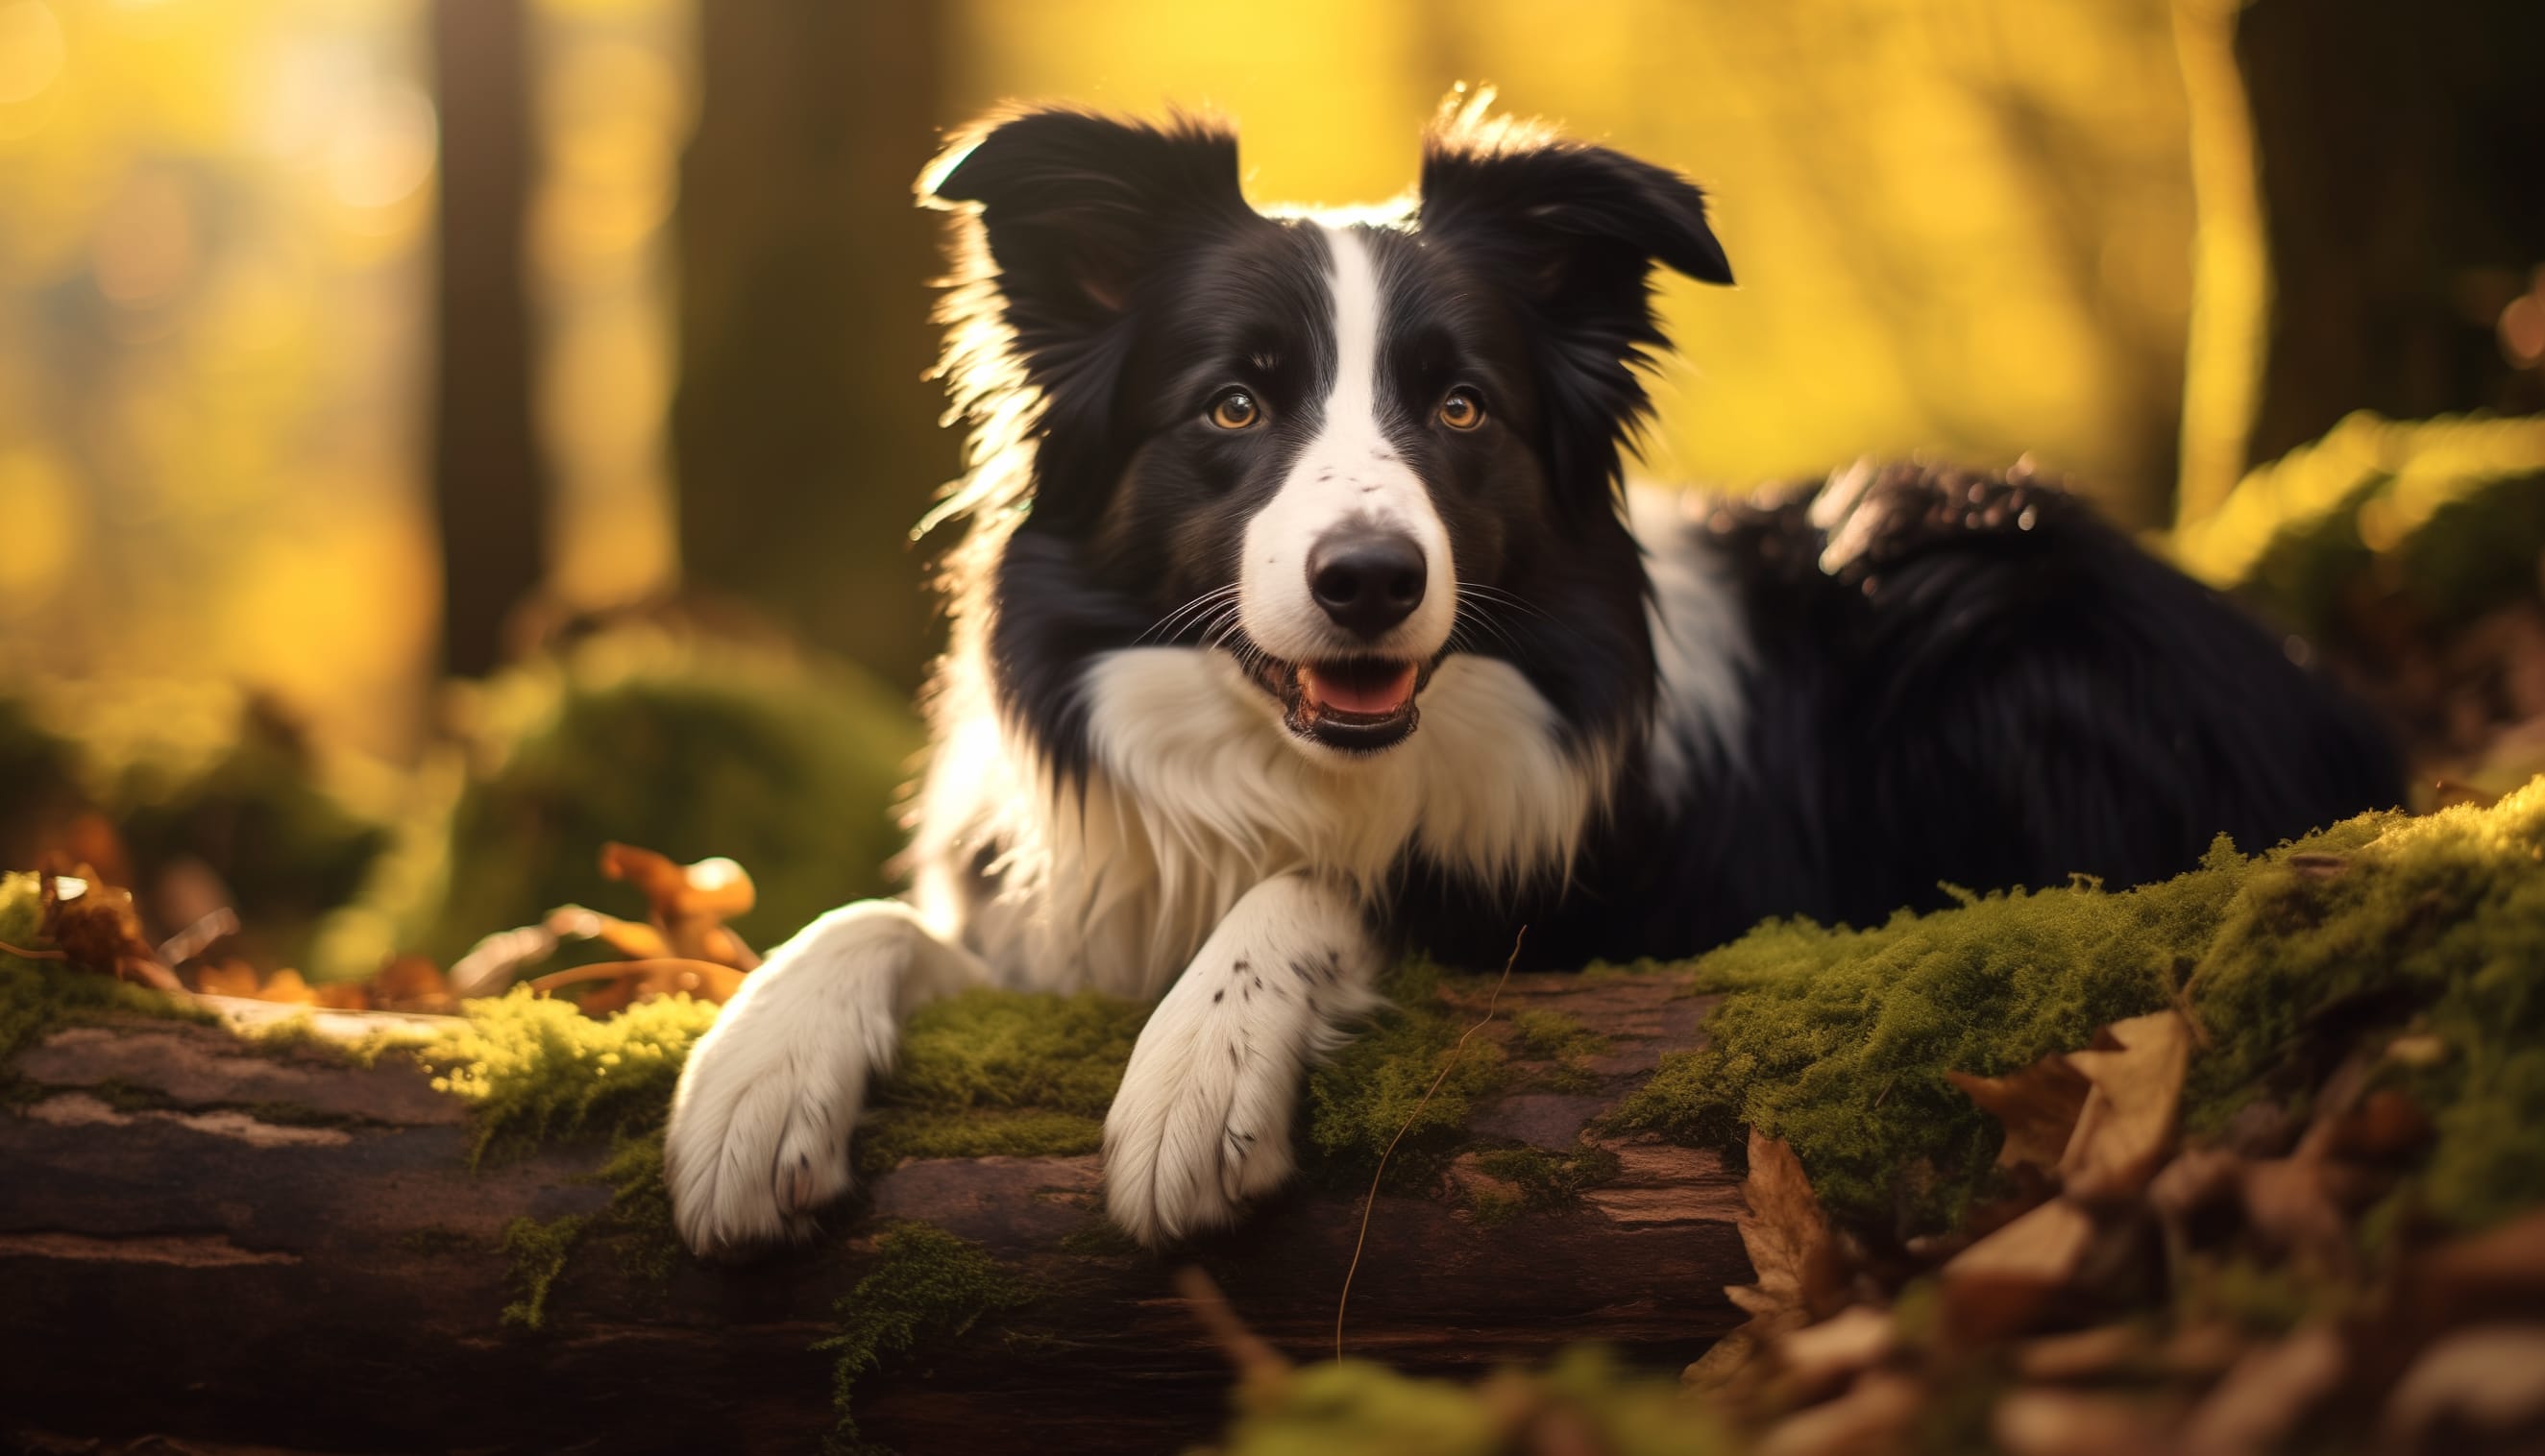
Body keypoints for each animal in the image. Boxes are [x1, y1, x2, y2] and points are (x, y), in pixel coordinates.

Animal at [661, 99, 2402, 1251]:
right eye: (1233, 406)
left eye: (1461, 409)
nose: (1369, 579)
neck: (1276, 763)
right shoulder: (1072, 914)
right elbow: (871, 921)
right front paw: (754, 1070)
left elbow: (1335, 882)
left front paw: (1200, 1063)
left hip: (1964, 560)